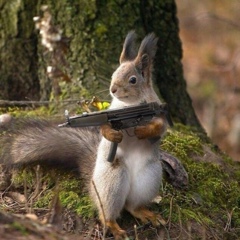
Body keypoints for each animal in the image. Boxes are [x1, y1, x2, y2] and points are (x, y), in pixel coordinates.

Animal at [0, 32, 188, 240]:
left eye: (133, 80)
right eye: (113, 74)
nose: (113, 89)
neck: (131, 105)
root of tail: (93, 183)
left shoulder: (157, 114)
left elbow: (160, 128)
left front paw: (142, 130)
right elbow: (105, 129)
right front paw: (115, 134)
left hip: (149, 178)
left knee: (132, 206)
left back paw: (146, 214)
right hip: (112, 179)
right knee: (107, 212)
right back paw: (115, 227)